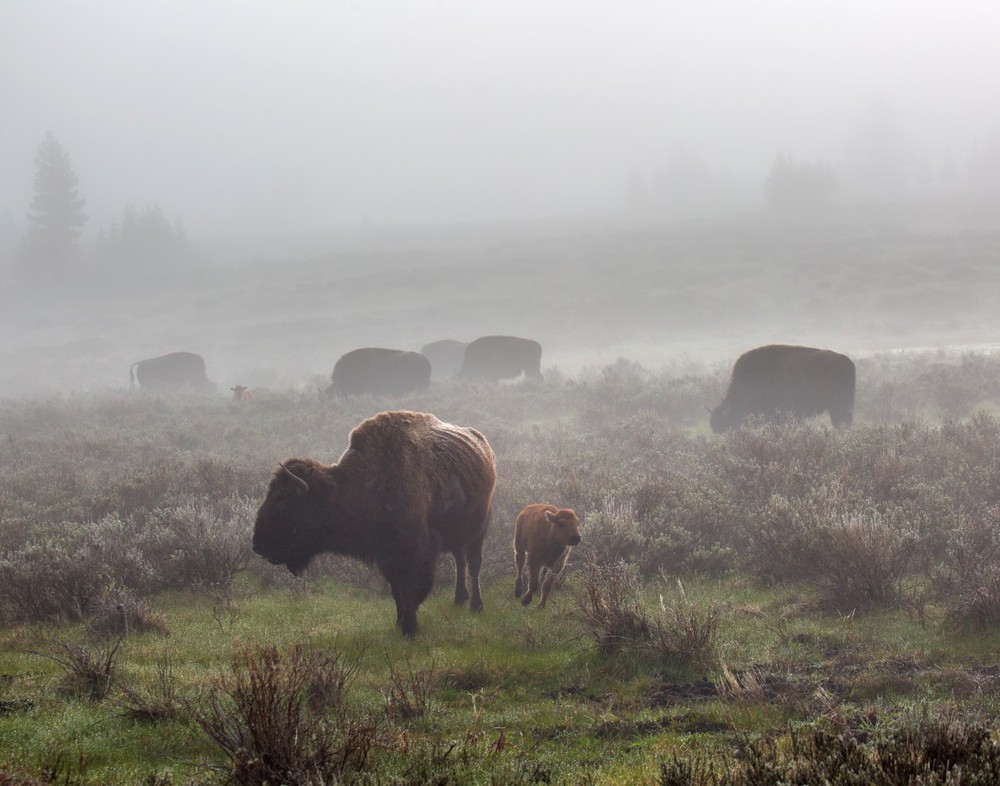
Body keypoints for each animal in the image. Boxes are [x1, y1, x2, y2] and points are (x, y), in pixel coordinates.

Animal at [252, 410, 497, 636]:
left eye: (284, 506)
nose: (257, 545)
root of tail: (484, 448)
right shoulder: (385, 557)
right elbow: (397, 591)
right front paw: (399, 623)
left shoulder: (418, 553)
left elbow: (412, 590)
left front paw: (410, 628)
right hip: (458, 535)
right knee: (460, 560)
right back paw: (459, 599)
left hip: (480, 530)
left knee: (474, 564)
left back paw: (476, 606)